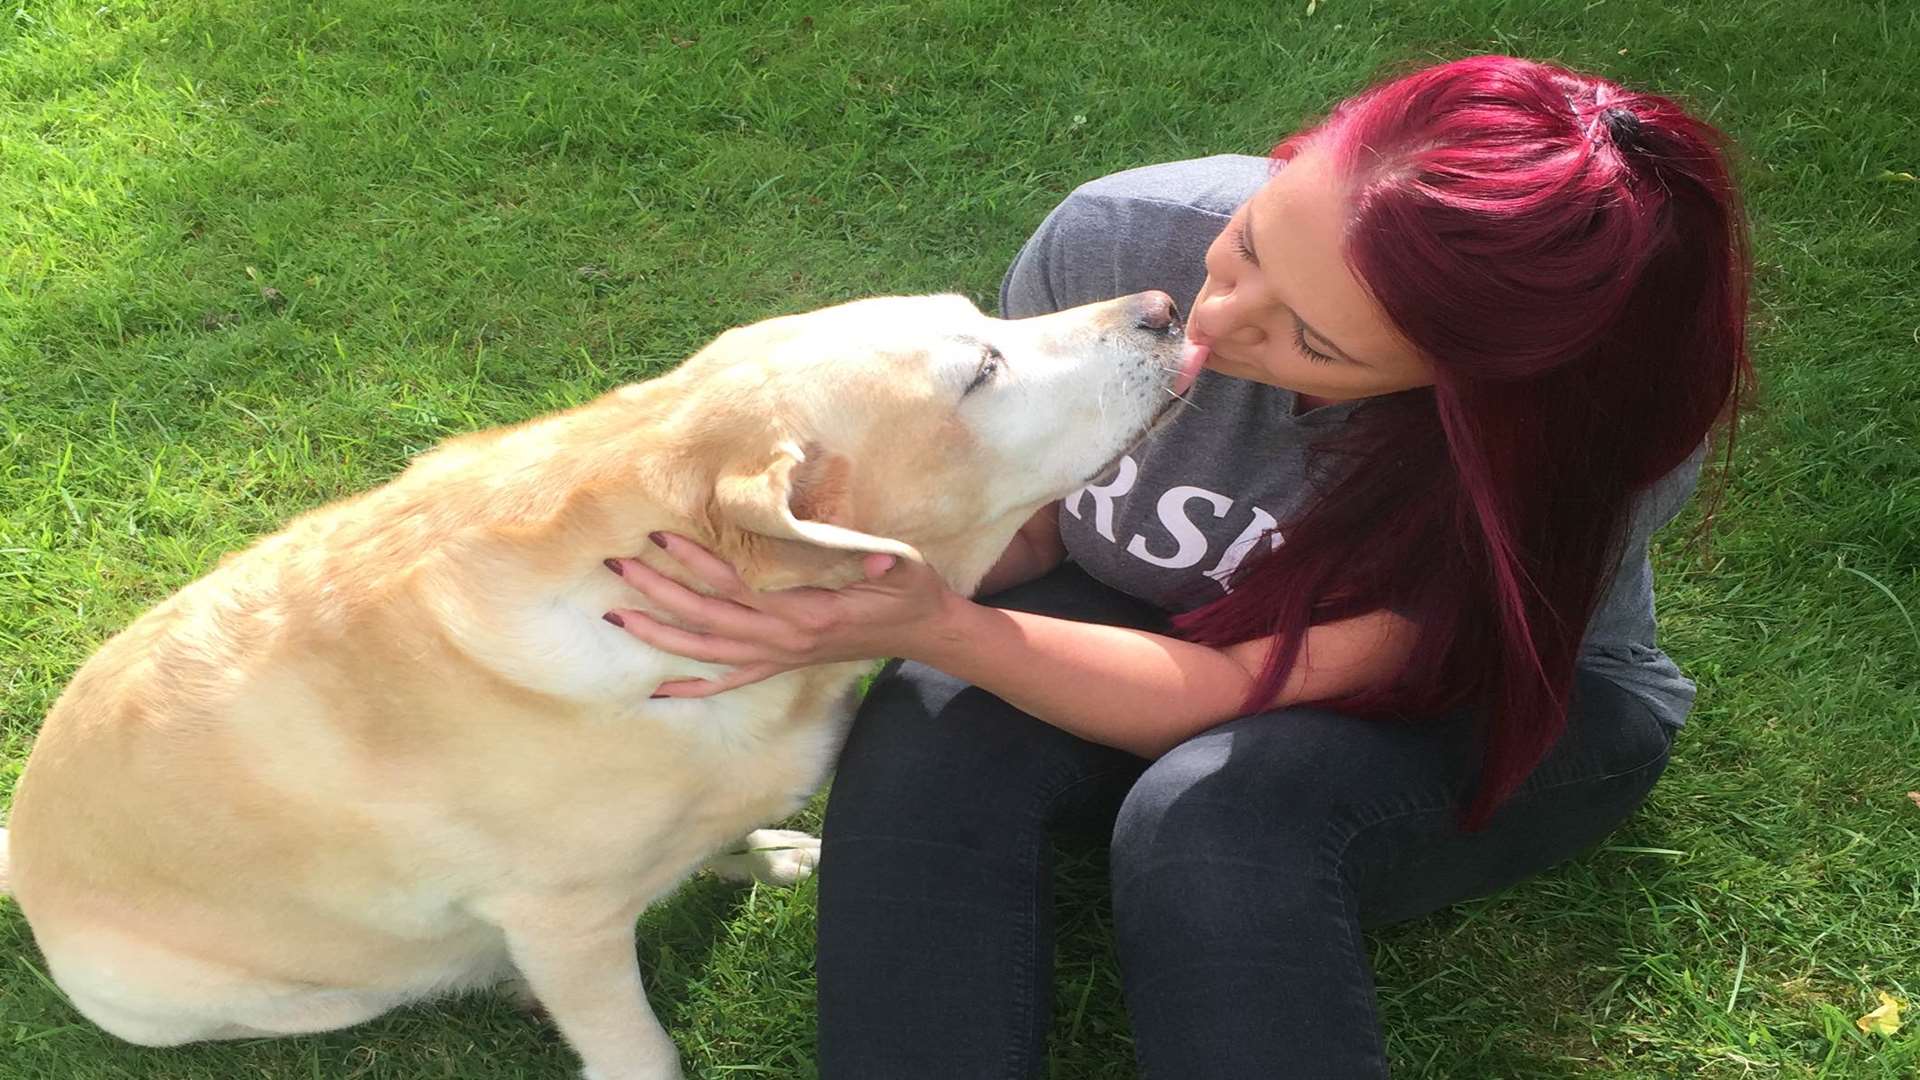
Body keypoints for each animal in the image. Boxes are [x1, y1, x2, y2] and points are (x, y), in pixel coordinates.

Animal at [0, 290, 1198, 1068]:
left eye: (988, 319)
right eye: (981, 372)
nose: (1163, 303)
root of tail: (20, 857)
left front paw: (754, 852)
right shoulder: (563, 927)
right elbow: (640, 1053)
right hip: (274, 996)